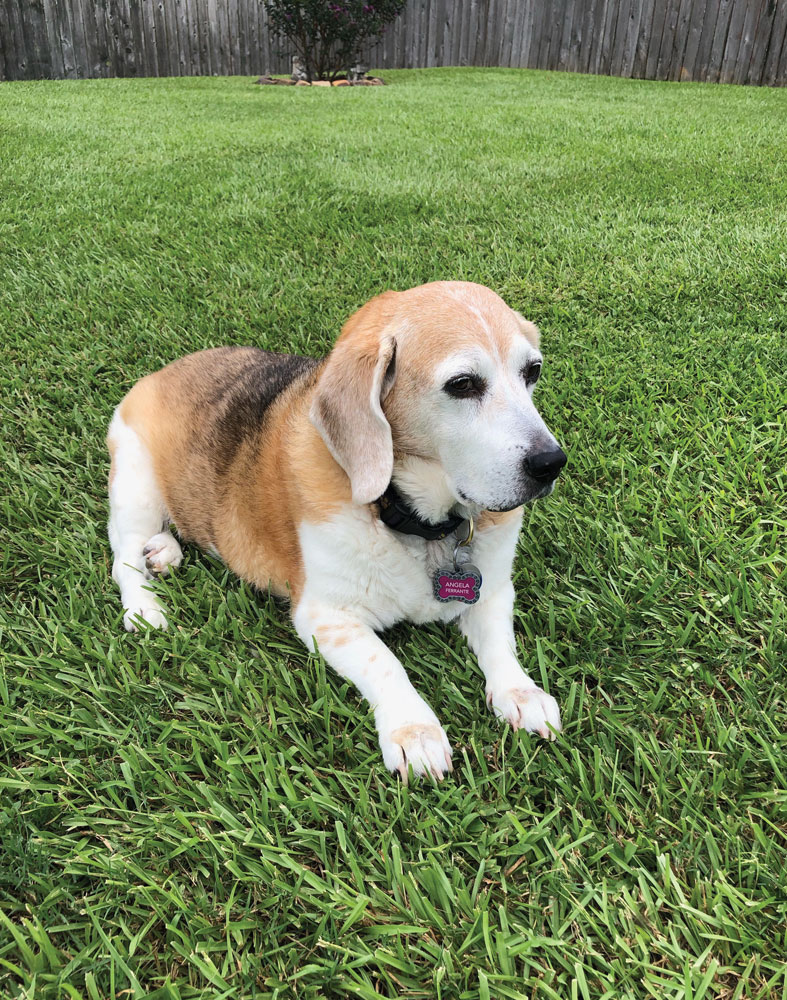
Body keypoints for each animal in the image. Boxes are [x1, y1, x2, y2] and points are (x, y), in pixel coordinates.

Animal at [109, 282, 568, 780]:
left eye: (533, 371)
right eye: (462, 384)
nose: (552, 463)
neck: (417, 522)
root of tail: (166, 370)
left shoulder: (494, 590)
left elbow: (501, 645)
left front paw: (521, 693)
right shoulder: (324, 616)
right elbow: (386, 664)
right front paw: (414, 731)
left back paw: (164, 552)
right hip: (134, 482)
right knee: (124, 558)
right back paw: (145, 607)